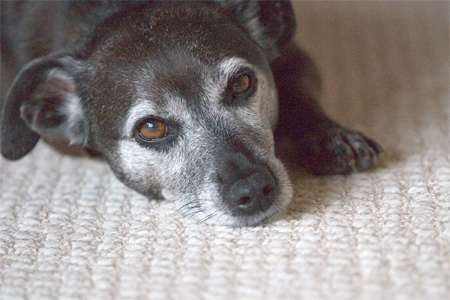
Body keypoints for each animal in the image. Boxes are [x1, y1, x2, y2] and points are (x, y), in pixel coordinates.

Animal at [0, 0, 384, 225]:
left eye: (242, 83)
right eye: (151, 128)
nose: (253, 188)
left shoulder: (293, 56)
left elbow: (298, 97)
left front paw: (331, 138)